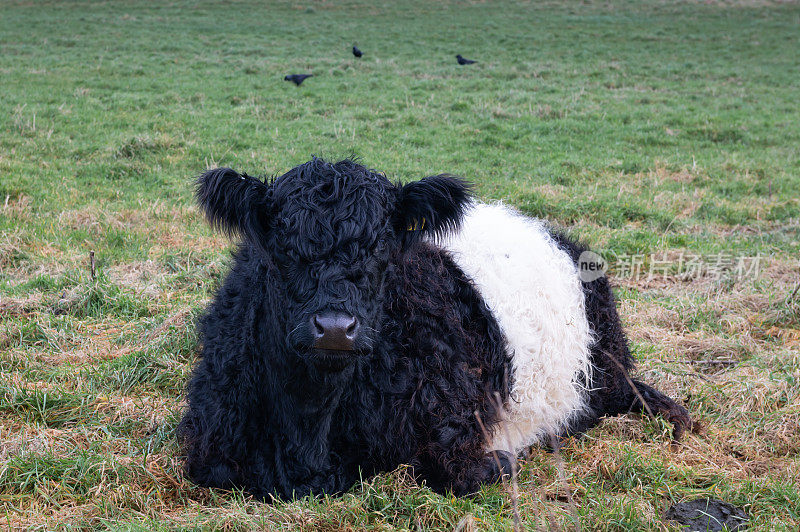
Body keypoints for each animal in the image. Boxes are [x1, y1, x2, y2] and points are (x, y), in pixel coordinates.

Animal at [177, 158, 692, 498]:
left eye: (383, 248)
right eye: (282, 249)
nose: (335, 328)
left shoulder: (458, 432)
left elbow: (459, 474)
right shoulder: (210, 439)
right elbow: (217, 470)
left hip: (607, 365)